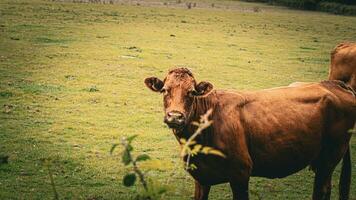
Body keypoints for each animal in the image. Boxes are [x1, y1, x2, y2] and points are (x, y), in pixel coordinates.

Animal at [143, 68, 354, 199]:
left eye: (192, 92)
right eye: (164, 90)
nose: (175, 116)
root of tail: (334, 84)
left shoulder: (241, 173)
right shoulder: (201, 177)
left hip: (330, 157)